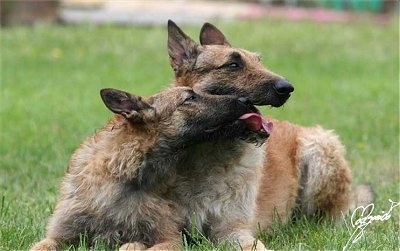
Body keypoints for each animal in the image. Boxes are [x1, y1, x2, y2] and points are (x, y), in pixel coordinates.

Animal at [167, 19, 374, 233]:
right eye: (233, 65)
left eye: (259, 61)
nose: (287, 88)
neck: (207, 149)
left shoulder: (233, 229)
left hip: (319, 150)